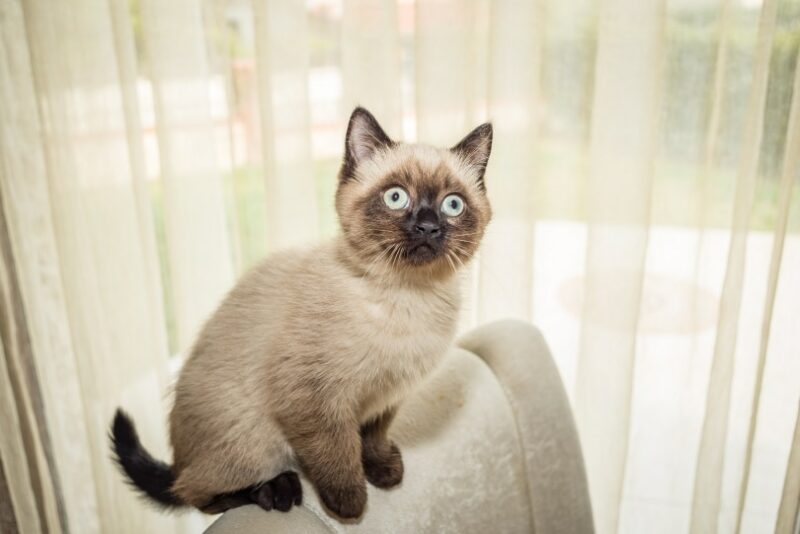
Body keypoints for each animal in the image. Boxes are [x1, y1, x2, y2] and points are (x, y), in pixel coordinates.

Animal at [109, 107, 490, 520]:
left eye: (452, 205)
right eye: (396, 197)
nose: (427, 227)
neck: (407, 296)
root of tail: (179, 457)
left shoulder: (385, 396)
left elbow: (372, 438)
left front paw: (383, 471)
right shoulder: (313, 401)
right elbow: (337, 455)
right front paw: (349, 505)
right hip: (252, 443)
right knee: (195, 493)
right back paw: (276, 490)